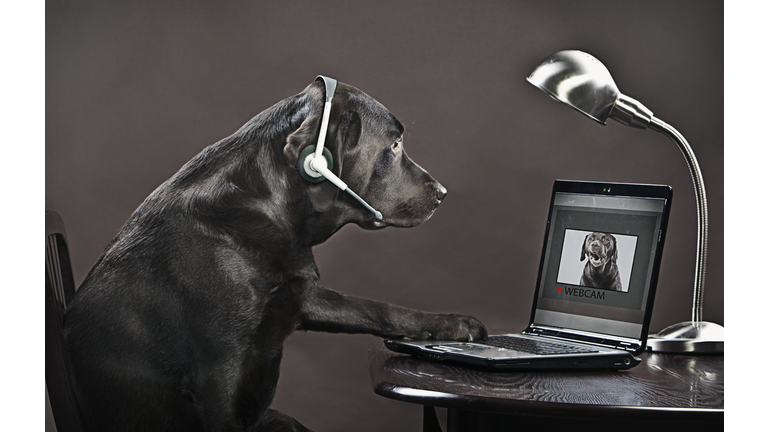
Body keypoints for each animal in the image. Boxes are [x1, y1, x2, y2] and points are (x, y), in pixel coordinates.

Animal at [66, 79, 486, 430]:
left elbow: (378, 309)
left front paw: (454, 325)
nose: (442, 192)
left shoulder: (301, 295)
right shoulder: (216, 375)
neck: (268, 203)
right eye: (395, 145)